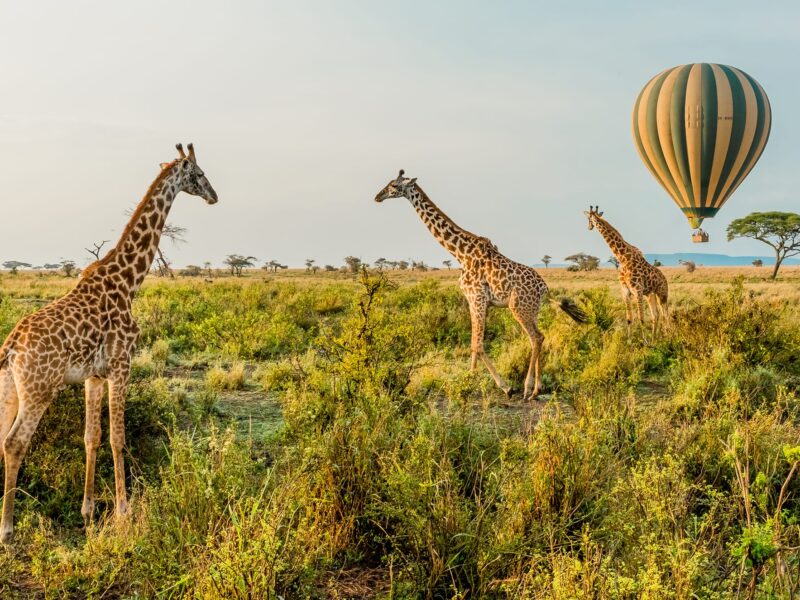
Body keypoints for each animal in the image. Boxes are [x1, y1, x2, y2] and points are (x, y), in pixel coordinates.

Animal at [0, 143, 219, 540]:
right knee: (14, 443)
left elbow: (92, 437)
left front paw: (87, 512)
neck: (129, 282)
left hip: (9, 388)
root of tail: (11, 346)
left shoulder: (94, 376)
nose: (214, 196)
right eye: (198, 173)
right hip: (39, 389)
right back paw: (7, 531)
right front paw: (123, 512)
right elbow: (118, 437)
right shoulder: (122, 365)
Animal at [376, 171, 588, 400]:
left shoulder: (476, 297)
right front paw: (469, 379)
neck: (460, 253)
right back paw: (537, 389)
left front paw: (504, 387)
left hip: (518, 307)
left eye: (393, 185)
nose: (378, 196)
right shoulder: (476, 301)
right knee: (541, 336)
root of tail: (545, 289)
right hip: (532, 309)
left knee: (536, 337)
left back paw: (527, 388)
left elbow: (477, 344)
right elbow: (473, 343)